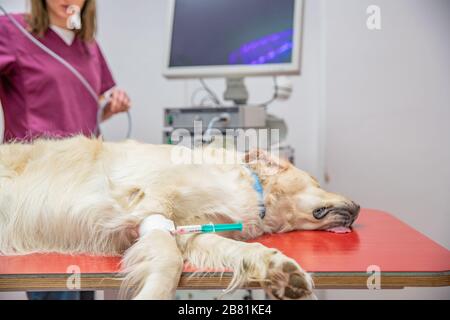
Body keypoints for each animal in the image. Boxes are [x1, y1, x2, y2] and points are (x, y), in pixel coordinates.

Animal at [0, 136, 358, 298]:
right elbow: (169, 262)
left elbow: (244, 250)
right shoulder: (151, 206)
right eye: (317, 182)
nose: (357, 208)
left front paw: (281, 272)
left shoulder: (193, 231)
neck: (252, 187)